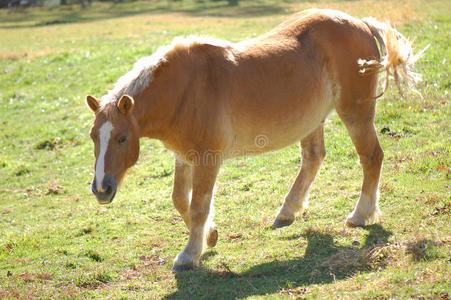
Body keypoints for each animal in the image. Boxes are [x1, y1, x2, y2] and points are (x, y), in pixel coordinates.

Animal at [86, 9, 426, 270]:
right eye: (93, 137)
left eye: (122, 138)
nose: (101, 189)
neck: (185, 88)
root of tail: (361, 23)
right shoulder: (184, 156)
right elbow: (180, 200)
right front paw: (210, 236)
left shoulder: (208, 159)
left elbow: (198, 205)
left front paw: (189, 254)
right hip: (312, 120)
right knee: (313, 157)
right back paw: (287, 212)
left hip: (356, 114)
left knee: (371, 156)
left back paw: (360, 215)